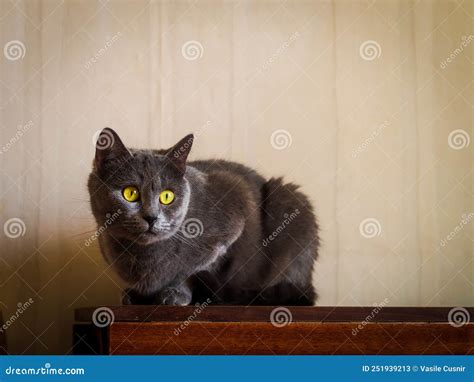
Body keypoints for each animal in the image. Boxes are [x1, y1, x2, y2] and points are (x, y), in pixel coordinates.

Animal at [87, 130, 320, 306]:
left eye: (167, 196)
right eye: (130, 193)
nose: (151, 217)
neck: (140, 255)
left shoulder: (237, 198)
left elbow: (191, 268)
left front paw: (175, 293)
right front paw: (135, 294)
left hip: (292, 203)